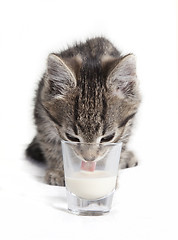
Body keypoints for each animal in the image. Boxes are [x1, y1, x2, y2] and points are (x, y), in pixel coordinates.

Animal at [25, 37, 141, 187]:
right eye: (71, 137)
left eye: (108, 137)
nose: (89, 158)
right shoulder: (42, 113)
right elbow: (51, 144)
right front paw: (59, 170)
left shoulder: (128, 124)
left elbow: (118, 146)